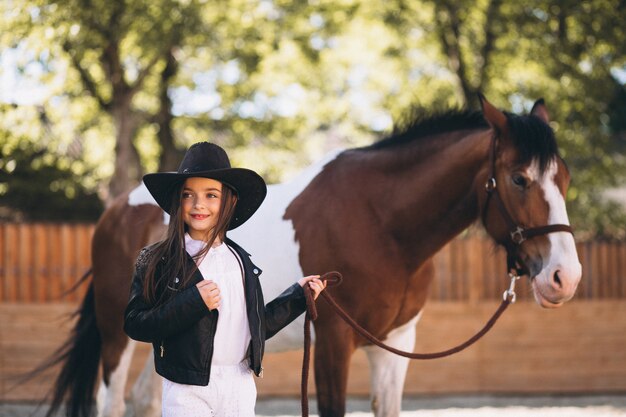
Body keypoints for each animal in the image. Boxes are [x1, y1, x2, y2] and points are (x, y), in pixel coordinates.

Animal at [39, 96, 576, 414]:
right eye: (519, 178)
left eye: (565, 178)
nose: (564, 277)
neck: (381, 222)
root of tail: (113, 214)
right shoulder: (334, 341)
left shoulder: (395, 343)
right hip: (119, 336)